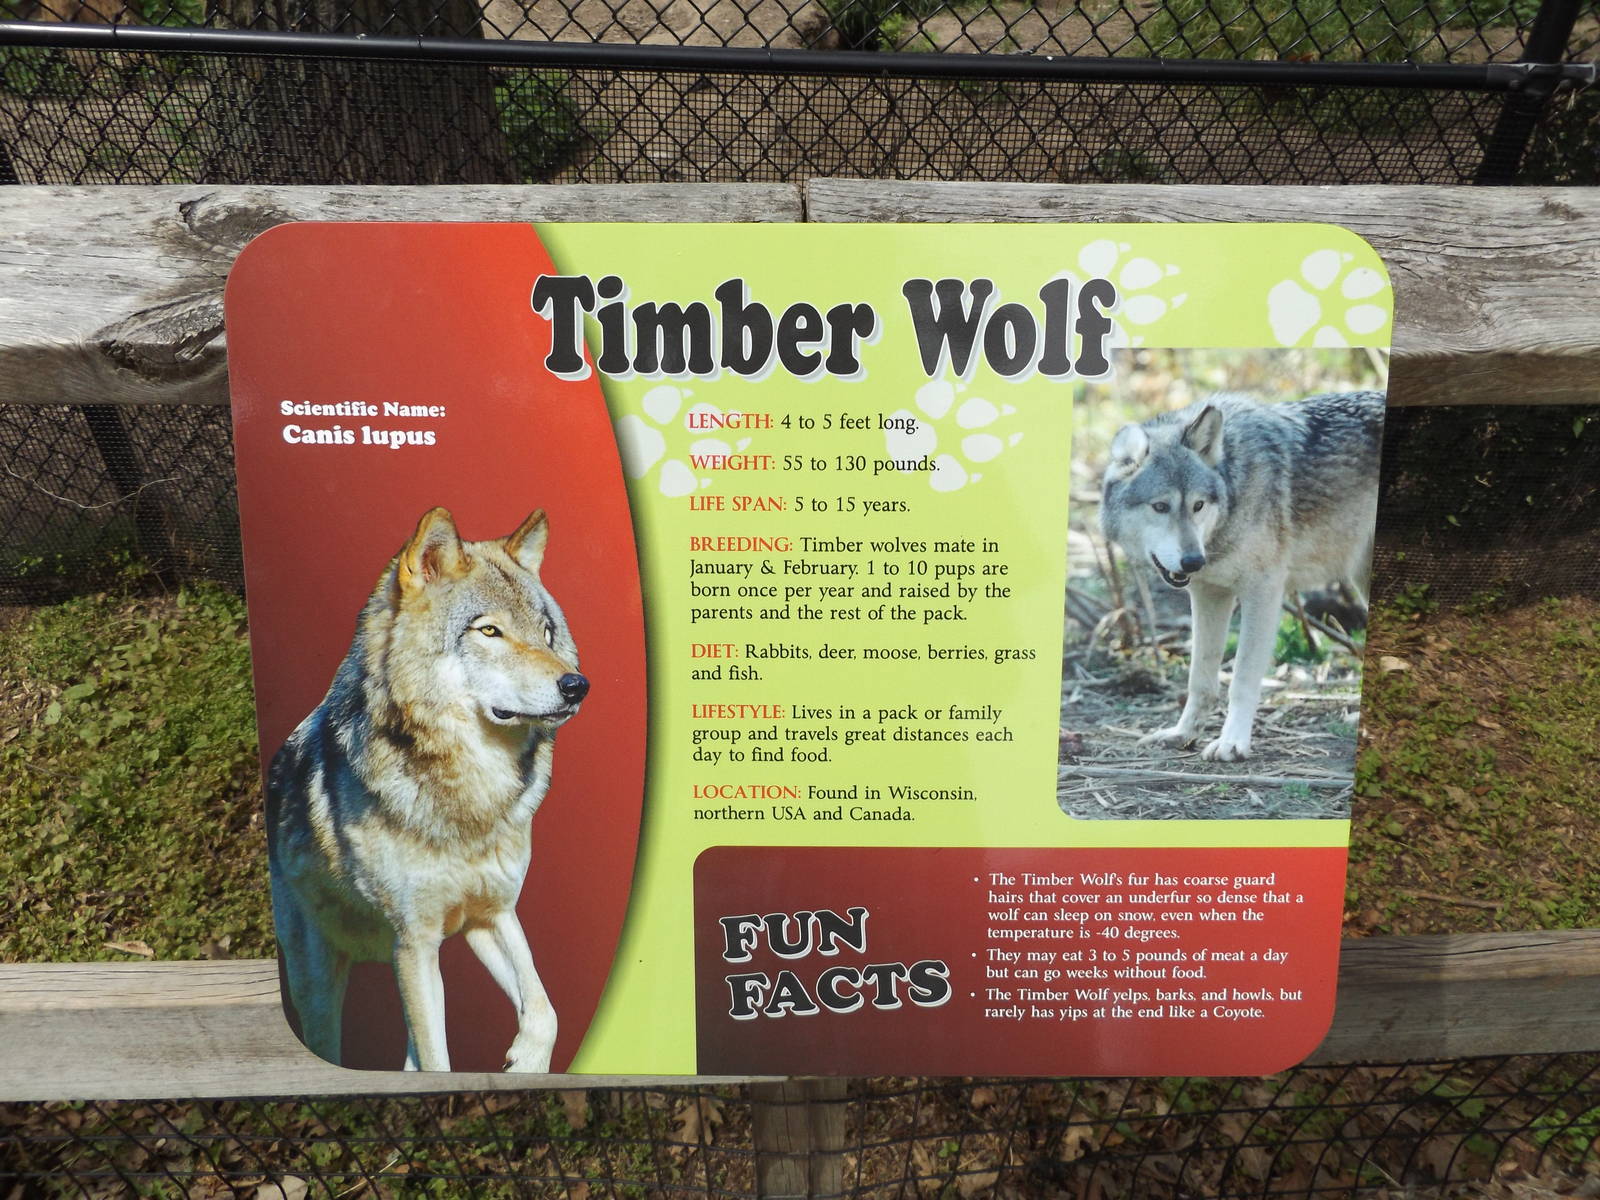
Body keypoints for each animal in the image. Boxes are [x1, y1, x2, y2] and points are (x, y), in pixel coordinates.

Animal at [267, 506, 589, 1072]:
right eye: (489, 631)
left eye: (547, 632)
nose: (576, 686)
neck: (469, 798)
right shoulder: (414, 942)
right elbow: (440, 1063)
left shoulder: (492, 913)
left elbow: (544, 1011)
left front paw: (526, 1063)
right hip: (320, 982)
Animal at [1100, 391, 1383, 762]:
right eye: (1160, 507)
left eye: (1198, 505)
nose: (1193, 561)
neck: (1234, 484)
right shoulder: (1209, 594)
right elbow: (1200, 680)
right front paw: (1182, 734)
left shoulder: (1262, 591)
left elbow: (1242, 680)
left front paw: (1232, 742)